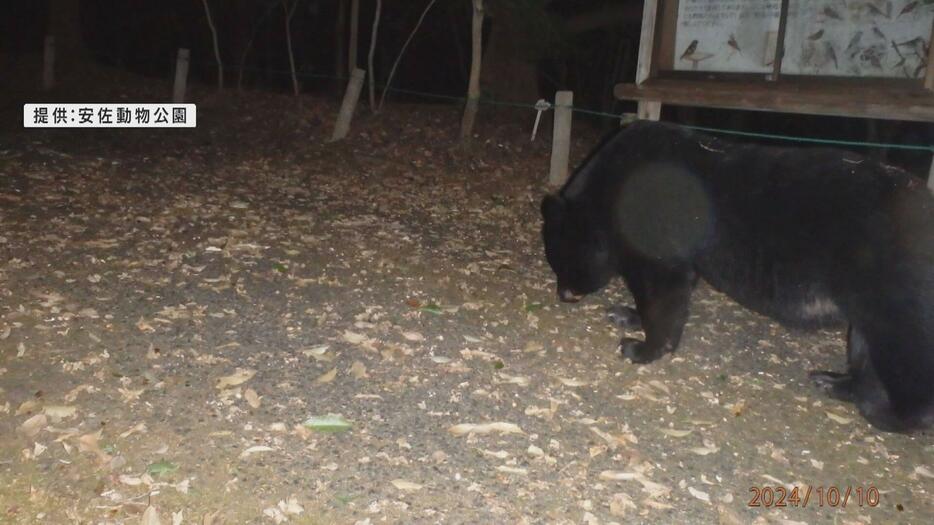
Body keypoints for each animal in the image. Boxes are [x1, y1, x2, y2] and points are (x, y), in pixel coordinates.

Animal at [540, 121, 934, 432]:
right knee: (866, 348)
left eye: (560, 262)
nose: (563, 295)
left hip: (893, 293)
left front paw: (642, 347)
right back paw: (835, 382)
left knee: (906, 360)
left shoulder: (651, 231)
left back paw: (882, 410)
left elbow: (662, 288)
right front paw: (627, 314)